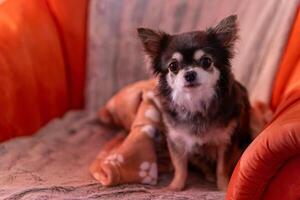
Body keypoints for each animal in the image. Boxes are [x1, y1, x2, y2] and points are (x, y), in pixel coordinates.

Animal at [138, 15, 251, 191]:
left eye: (206, 62)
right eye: (173, 66)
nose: (189, 74)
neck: (195, 102)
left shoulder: (227, 140)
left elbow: (222, 168)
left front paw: (224, 187)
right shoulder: (176, 140)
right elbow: (180, 166)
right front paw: (175, 187)